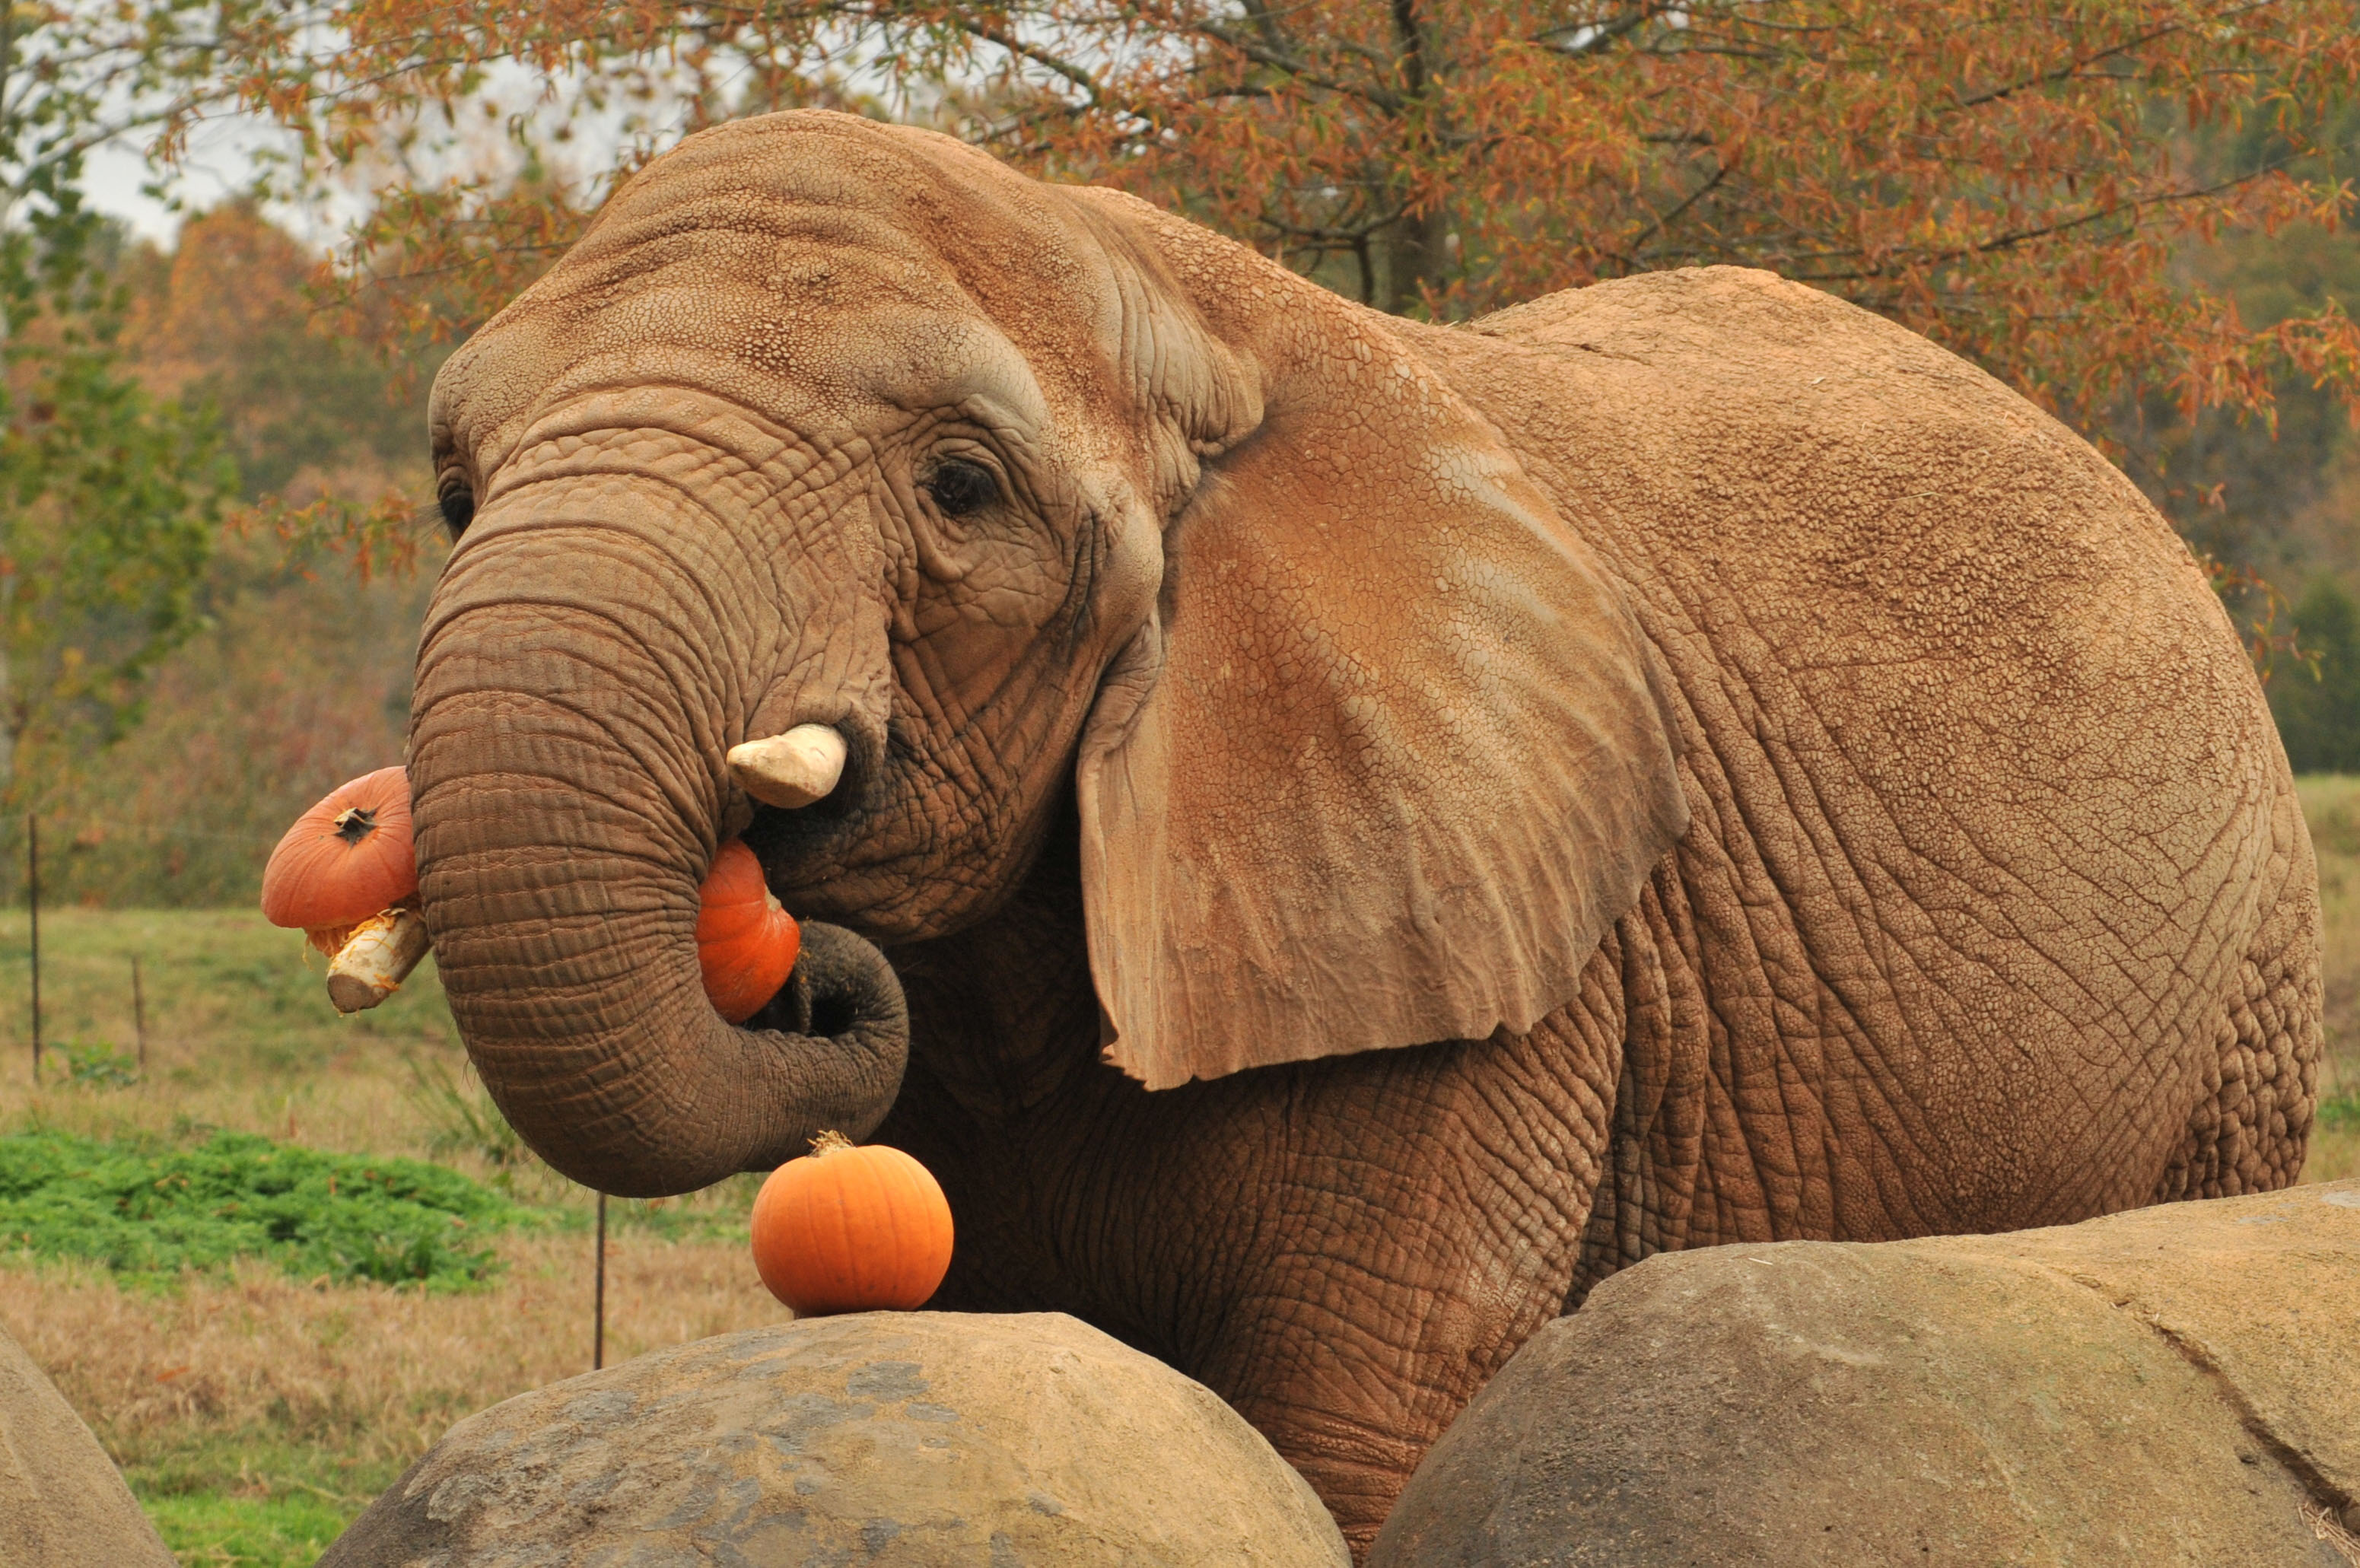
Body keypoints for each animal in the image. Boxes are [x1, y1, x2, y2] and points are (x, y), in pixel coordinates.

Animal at [408, 109, 2322, 1554]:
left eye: (961, 487)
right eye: (452, 494)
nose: (811, 973)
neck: (1166, 301)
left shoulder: (1509, 953)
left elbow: (1353, 1410)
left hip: (2243, 1013)